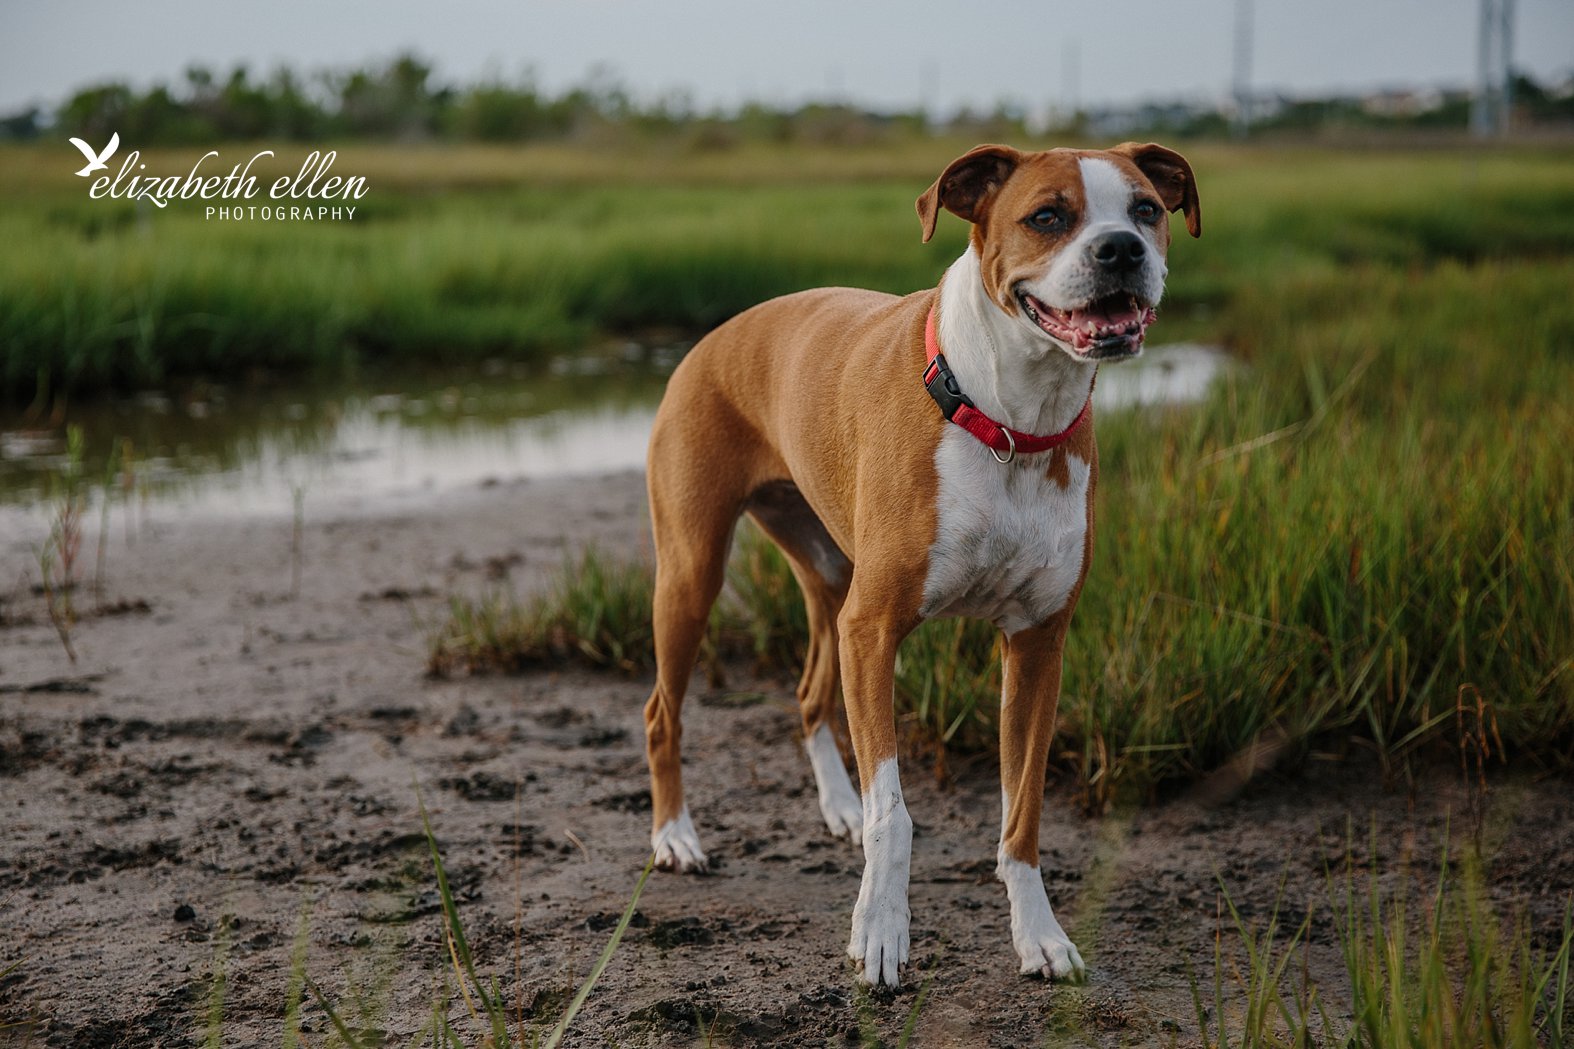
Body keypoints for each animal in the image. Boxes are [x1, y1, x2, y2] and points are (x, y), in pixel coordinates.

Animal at [639, 138, 1202, 982]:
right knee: (660, 711)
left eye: (1146, 210)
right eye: (1048, 216)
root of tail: (714, 335)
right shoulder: (874, 629)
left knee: (810, 690)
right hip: (692, 570)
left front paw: (1040, 934)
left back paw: (837, 805)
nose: (1121, 251)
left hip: (828, 572)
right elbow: (896, 814)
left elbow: (1023, 812)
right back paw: (676, 834)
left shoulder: (1037, 643)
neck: (1006, 419)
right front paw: (880, 932)